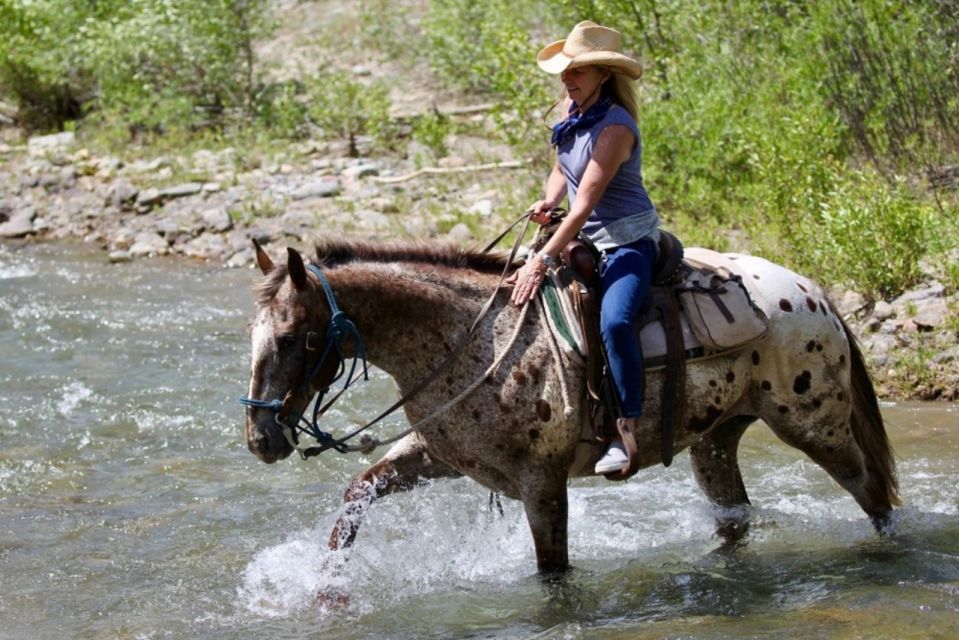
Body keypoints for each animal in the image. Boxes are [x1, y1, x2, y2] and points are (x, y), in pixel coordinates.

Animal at [242, 239, 900, 576]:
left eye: (290, 338)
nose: (260, 439)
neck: (470, 336)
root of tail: (815, 293)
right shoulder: (442, 458)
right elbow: (358, 494)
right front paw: (329, 591)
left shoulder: (541, 481)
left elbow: (553, 571)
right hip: (714, 441)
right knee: (734, 516)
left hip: (814, 424)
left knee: (872, 491)